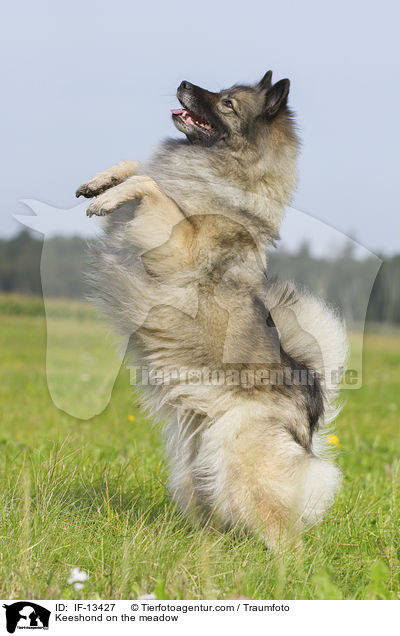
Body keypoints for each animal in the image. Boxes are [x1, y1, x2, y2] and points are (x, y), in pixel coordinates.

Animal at [76, 71, 346, 548]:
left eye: (227, 104)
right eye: (223, 91)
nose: (183, 82)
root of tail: (312, 398)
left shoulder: (175, 243)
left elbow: (151, 184)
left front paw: (109, 196)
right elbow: (139, 166)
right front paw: (101, 182)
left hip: (241, 462)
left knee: (283, 532)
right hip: (196, 469)